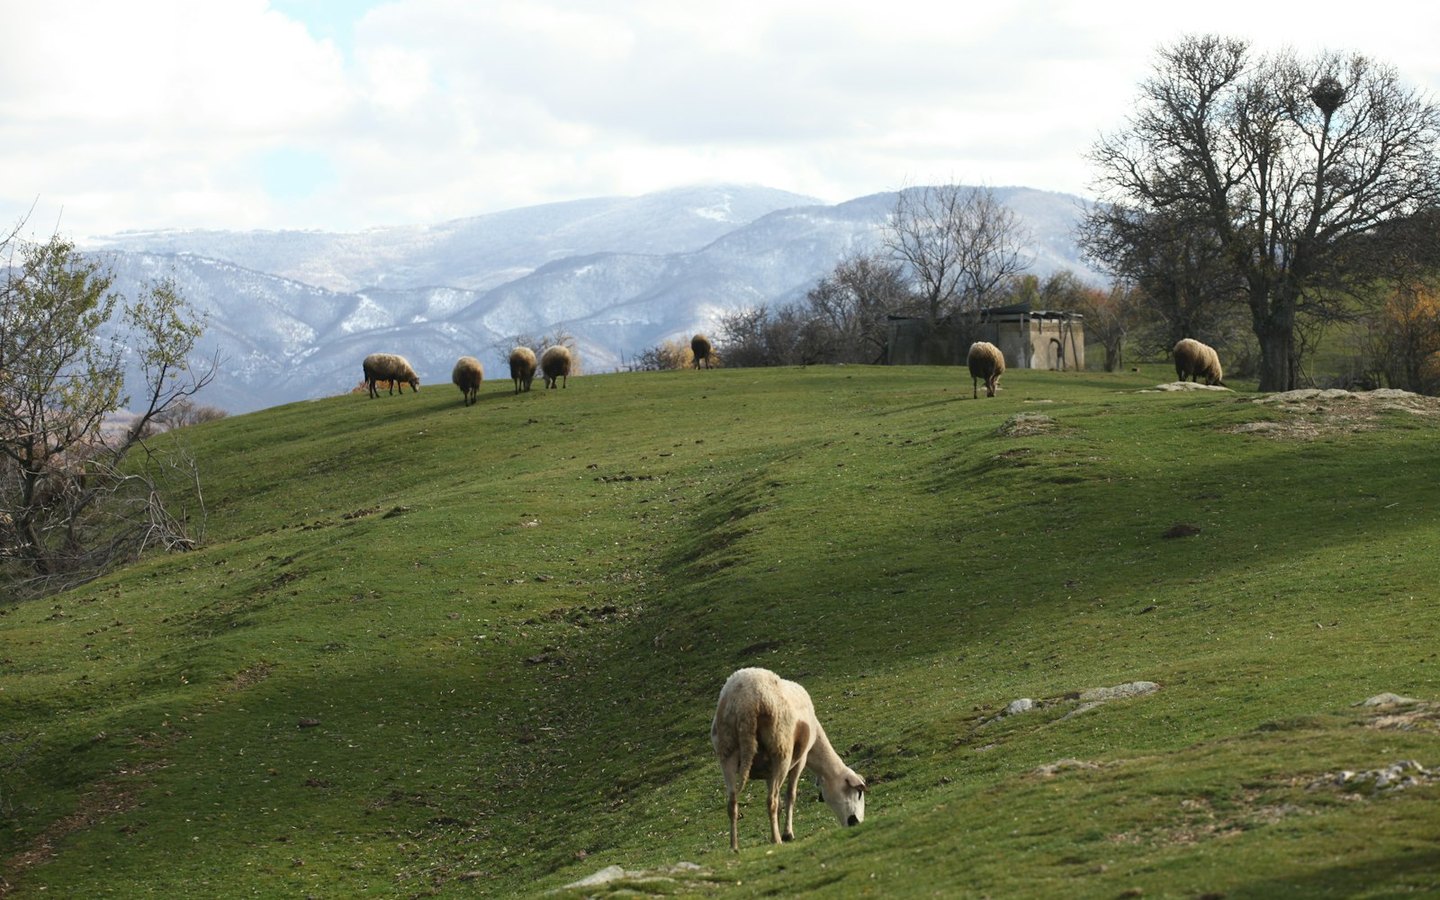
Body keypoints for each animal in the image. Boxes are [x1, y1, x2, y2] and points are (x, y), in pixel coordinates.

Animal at [711, 667, 867, 852]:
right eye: (858, 793)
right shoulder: (801, 760)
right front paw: (787, 834)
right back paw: (776, 839)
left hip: (727, 750)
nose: (856, 822)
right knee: (771, 801)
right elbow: (790, 795)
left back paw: (734, 846)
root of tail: (746, 702)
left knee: (733, 802)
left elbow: (779, 801)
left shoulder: (768, 772)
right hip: (780, 751)